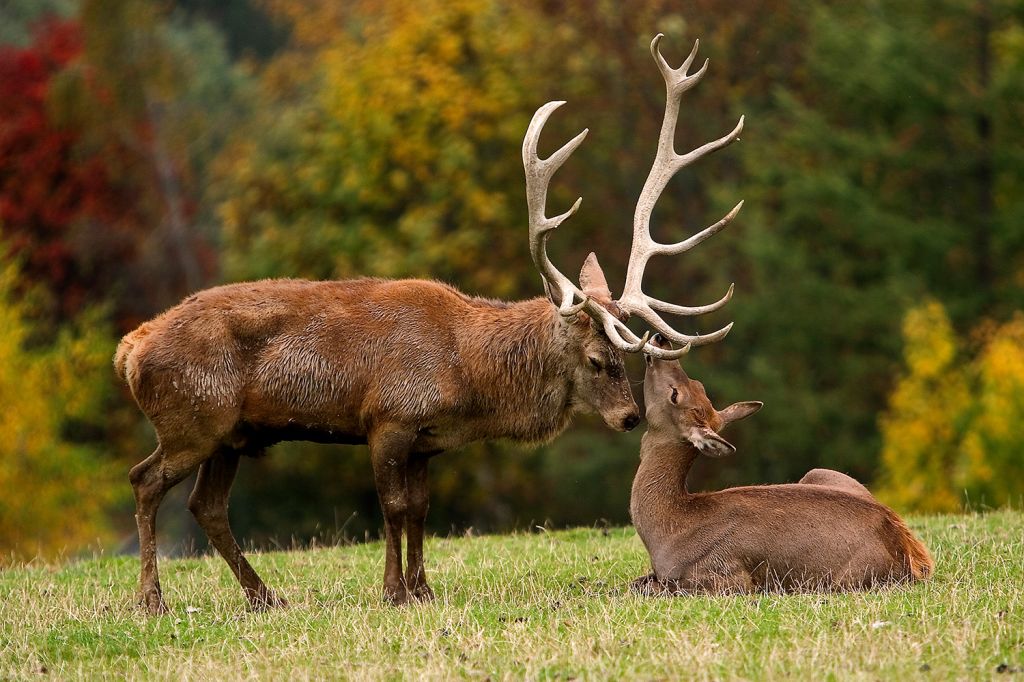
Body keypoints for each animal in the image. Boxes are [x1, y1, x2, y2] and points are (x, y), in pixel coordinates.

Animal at [116, 34, 745, 614]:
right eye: (596, 359)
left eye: (626, 359)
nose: (629, 417)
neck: (466, 372)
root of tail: (130, 349)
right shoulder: (387, 418)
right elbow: (393, 508)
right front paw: (393, 591)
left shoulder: (427, 440)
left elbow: (420, 509)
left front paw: (423, 588)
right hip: (191, 418)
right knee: (145, 479)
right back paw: (153, 599)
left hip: (230, 433)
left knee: (205, 505)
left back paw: (265, 596)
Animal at [626, 333, 933, 589]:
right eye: (699, 384)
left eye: (675, 394)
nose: (661, 339)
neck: (669, 531)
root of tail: (914, 557)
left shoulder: (724, 576)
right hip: (819, 473)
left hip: (847, 578)